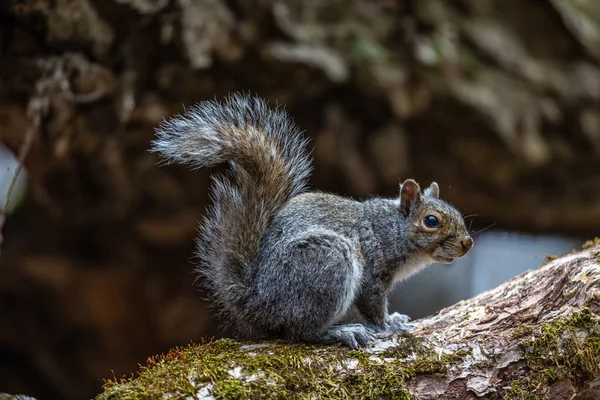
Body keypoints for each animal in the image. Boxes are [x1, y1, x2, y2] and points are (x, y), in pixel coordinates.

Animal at [151, 93, 474, 346]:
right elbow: (372, 306)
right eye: (431, 220)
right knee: (299, 331)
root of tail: (257, 303)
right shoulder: (372, 270)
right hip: (328, 263)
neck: (390, 228)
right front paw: (388, 324)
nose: (467, 243)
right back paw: (339, 332)